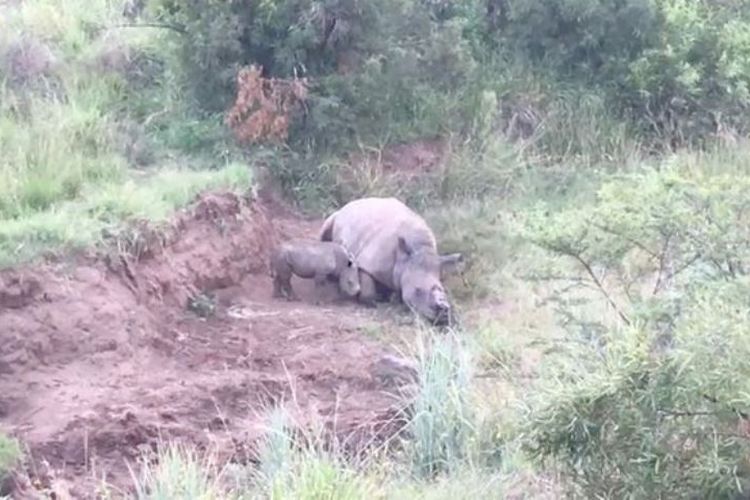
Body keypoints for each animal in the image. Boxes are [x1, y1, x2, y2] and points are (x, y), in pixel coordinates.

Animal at [318, 197, 462, 326]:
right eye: (417, 290)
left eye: (443, 290)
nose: (442, 315)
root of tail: (350, 203)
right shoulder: (368, 262)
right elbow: (368, 289)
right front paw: (374, 301)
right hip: (337, 217)